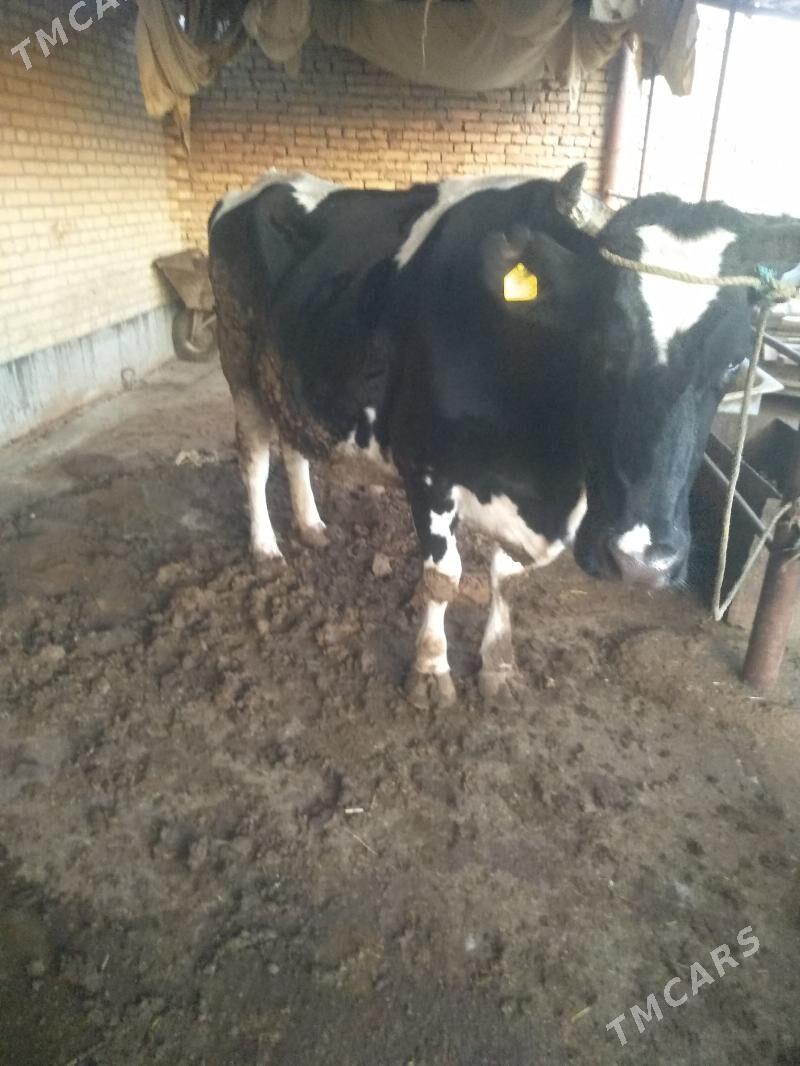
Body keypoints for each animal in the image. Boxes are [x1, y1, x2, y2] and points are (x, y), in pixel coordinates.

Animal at [209, 166, 800, 709]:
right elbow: (443, 575)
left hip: (289, 374)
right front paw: (431, 671)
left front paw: (499, 665)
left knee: (294, 447)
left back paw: (311, 525)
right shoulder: (427, 467)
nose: (641, 561)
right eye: (602, 340)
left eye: (736, 361)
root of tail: (263, 182)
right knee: (255, 458)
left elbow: (507, 578)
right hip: (239, 366)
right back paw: (266, 547)